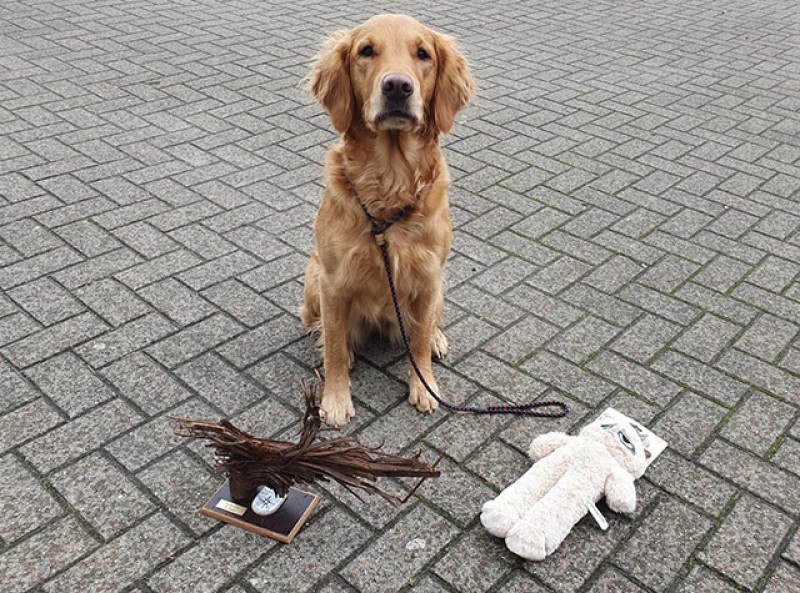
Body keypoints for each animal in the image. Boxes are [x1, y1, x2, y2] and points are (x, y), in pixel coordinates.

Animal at [299, 14, 475, 427]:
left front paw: (424, 385)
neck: (390, 182)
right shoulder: (333, 281)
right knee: (325, 330)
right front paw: (335, 398)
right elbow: (333, 345)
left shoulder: (427, 277)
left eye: (423, 54)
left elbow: (421, 341)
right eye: (366, 51)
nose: (397, 86)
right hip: (312, 277)